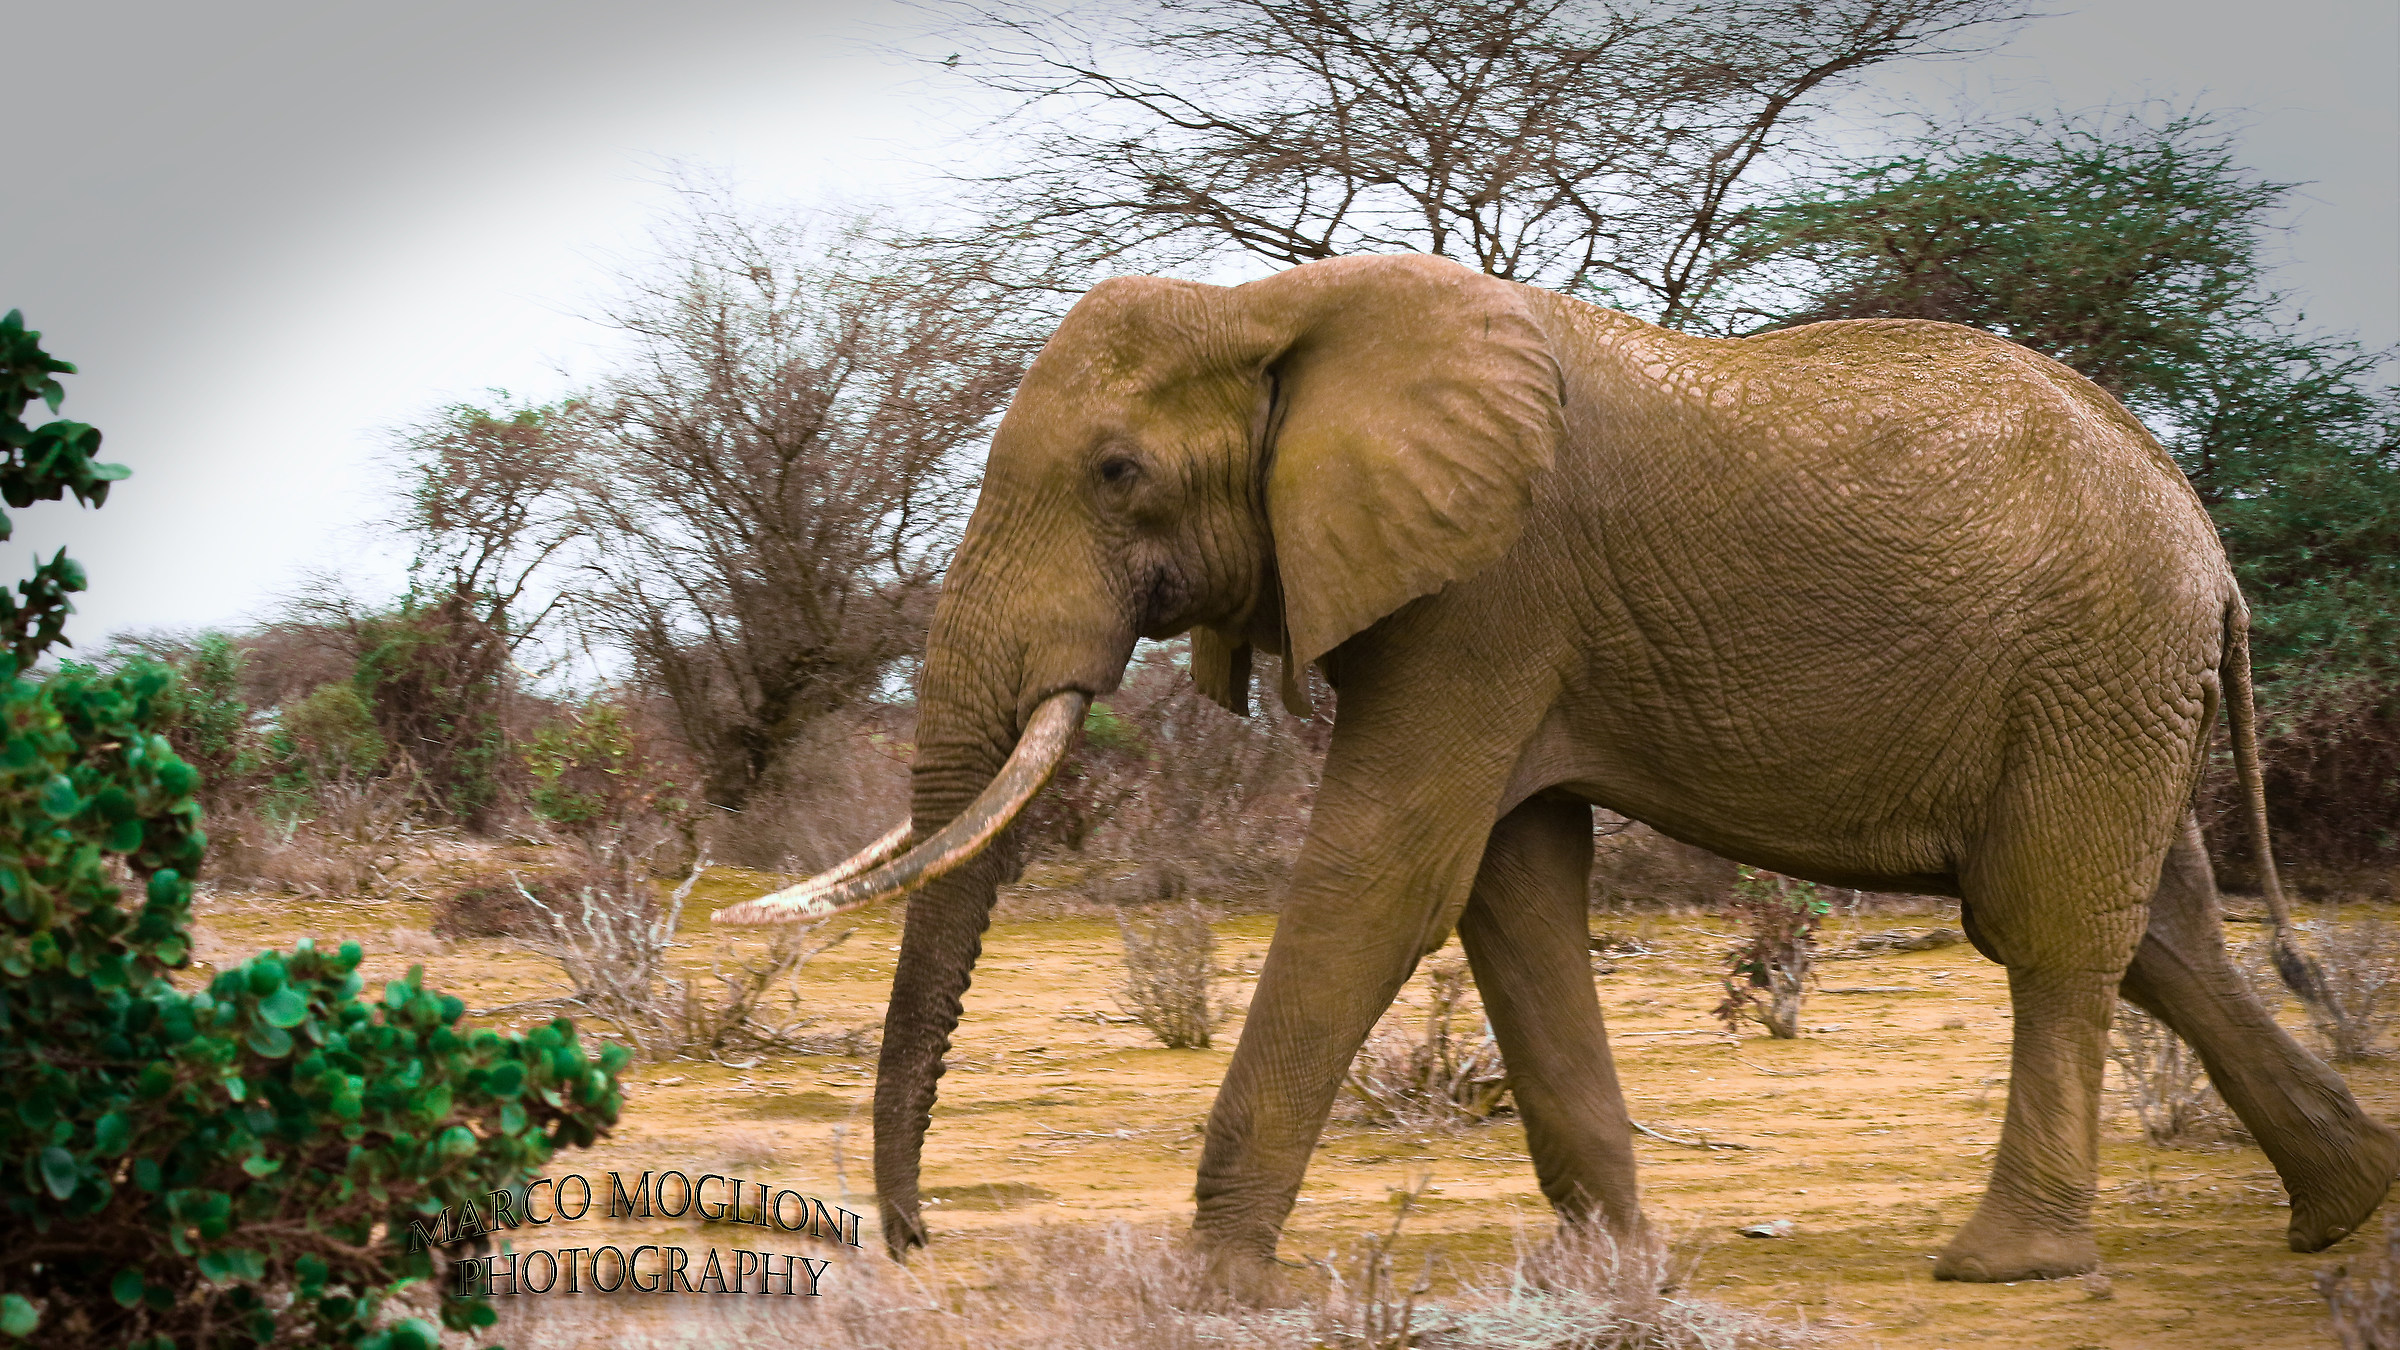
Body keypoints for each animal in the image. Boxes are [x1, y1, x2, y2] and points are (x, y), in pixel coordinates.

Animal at [715, 252, 2399, 1294]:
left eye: (1119, 473)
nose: (913, 1240)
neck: (1272, 308)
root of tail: (2210, 544)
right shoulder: (1497, 621)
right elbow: (1509, 890)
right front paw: (1620, 1264)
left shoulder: (1490, 587)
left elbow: (1386, 877)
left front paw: (1206, 1281)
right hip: (2117, 686)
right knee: (2170, 936)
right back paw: (2344, 1211)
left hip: (2092, 661)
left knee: (2050, 934)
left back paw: (2007, 1264)